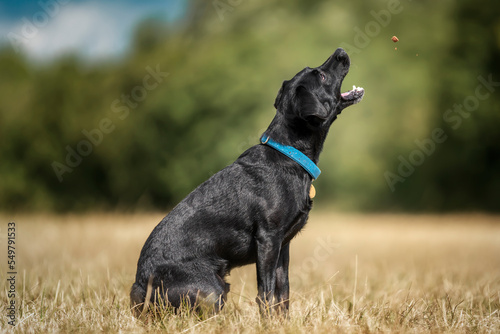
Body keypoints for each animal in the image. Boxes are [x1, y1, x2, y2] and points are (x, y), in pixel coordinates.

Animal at [129, 47, 364, 316]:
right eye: (322, 76)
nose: (340, 51)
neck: (289, 154)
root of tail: (139, 287)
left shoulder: (283, 246)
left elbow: (283, 292)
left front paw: (282, 321)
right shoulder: (268, 240)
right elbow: (266, 292)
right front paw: (267, 321)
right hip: (213, 289)